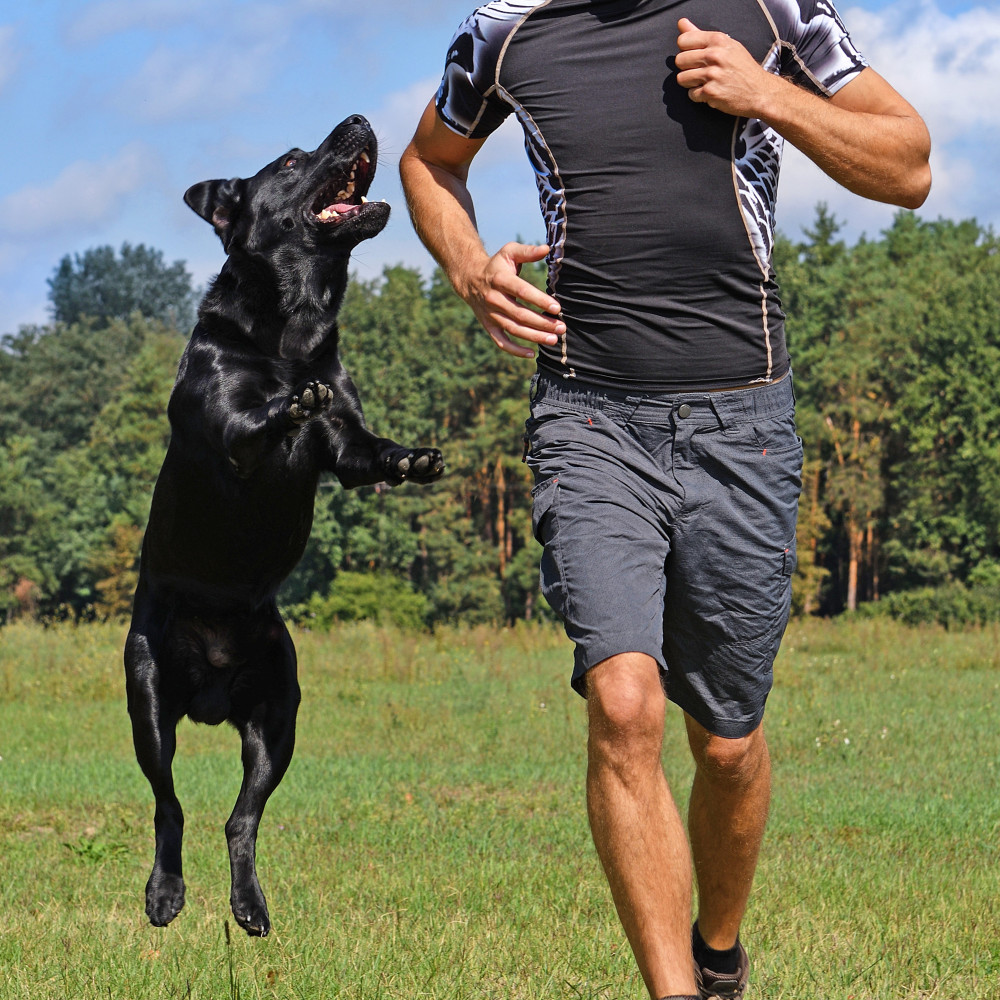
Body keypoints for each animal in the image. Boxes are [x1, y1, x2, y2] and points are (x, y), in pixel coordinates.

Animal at [124, 117, 442, 936]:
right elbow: (253, 424)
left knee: (241, 817)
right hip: (148, 702)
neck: (295, 329)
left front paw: (412, 458)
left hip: (279, 715)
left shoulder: (348, 444)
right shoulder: (229, 434)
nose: (359, 119)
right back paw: (165, 895)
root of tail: (209, 700)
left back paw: (249, 906)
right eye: (294, 162)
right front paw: (285, 403)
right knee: (168, 805)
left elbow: (367, 449)